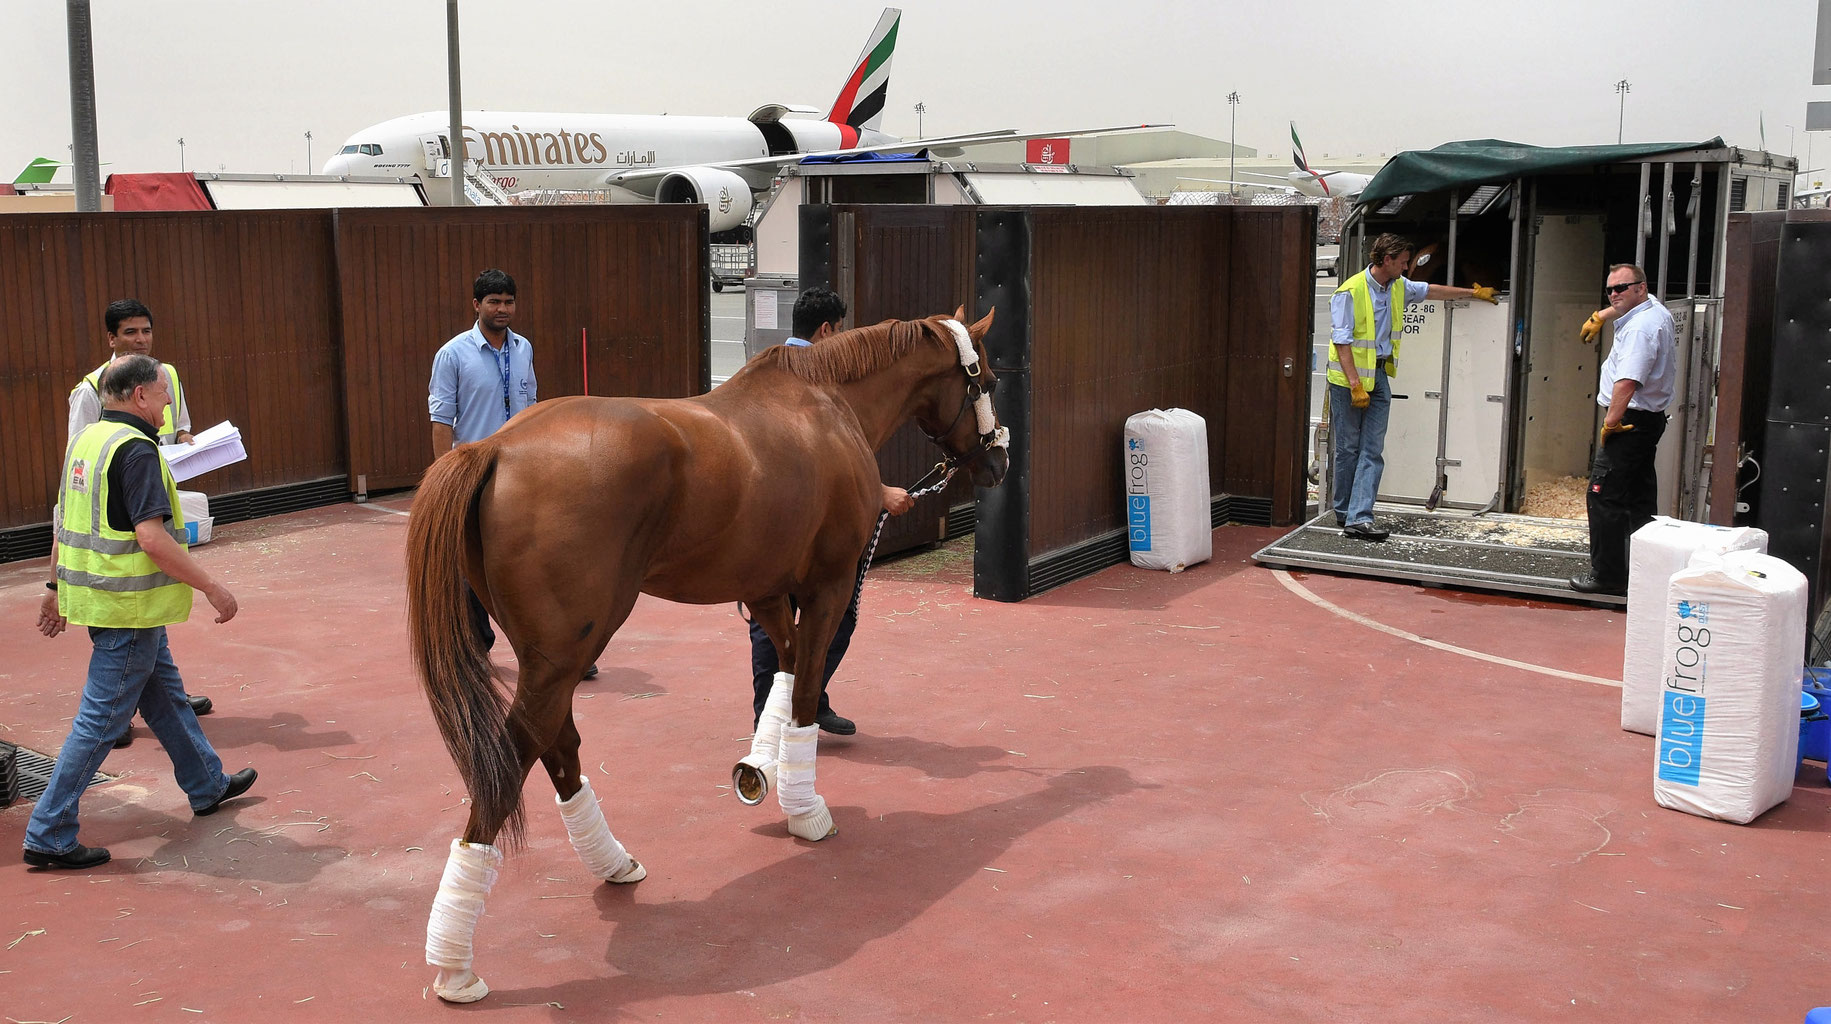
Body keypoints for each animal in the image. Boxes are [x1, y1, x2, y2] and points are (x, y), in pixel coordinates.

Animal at [404, 305, 1003, 1003]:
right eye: (988, 378)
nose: (998, 460)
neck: (827, 407)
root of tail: (494, 446)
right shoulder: (827, 588)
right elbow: (805, 690)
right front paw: (806, 811)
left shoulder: (766, 592)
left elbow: (783, 673)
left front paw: (760, 770)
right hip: (563, 655)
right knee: (512, 763)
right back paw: (455, 962)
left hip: (550, 657)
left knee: (560, 745)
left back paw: (613, 862)